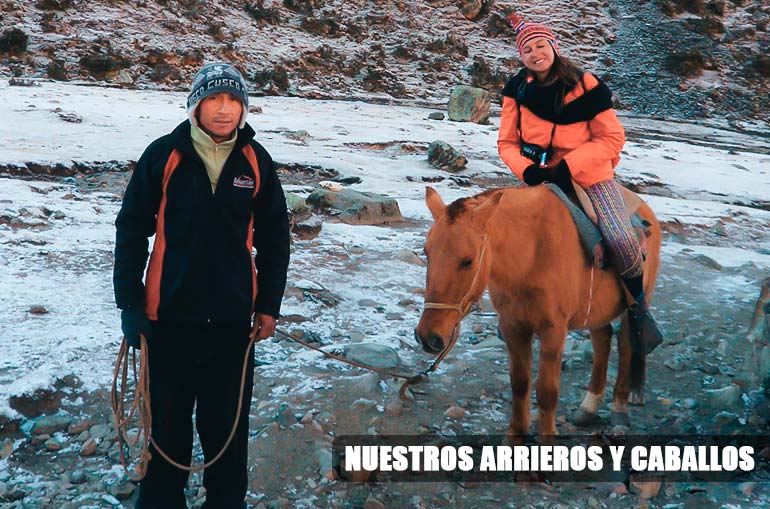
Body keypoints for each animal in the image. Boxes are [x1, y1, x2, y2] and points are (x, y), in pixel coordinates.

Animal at [414, 185, 660, 438]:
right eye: (427, 252)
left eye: (468, 261)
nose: (428, 336)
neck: (531, 256)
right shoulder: (513, 327)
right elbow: (520, 385)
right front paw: (515, 437)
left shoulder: (554, 331)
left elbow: (547, 393)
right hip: (596, 311)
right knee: (602, 341)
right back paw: (588, 408)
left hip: (632, 306)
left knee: (626, 346)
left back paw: (620, 408)